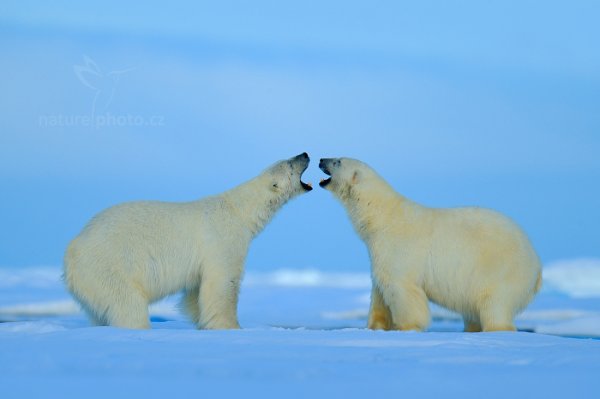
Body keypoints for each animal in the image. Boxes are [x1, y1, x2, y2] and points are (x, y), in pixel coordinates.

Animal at [63, 152, 312, 330]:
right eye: (290, 164)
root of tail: (72, 250)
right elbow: (223, 283)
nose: (305, 153)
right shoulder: (223, 240)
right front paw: (231, 327)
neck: (239, 211)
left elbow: (195, 291)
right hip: (108, 268)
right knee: (128, 305)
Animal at [318, 158, 544, 332]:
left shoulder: (397, 249)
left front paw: (407, 326)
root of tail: (537, 264)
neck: (381, 217)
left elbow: (401, 288)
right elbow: (379, 292)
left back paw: (496, 328)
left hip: (501, 272)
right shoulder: (377, 252)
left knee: (494, 304)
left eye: (338, 161)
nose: (321, 159)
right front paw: (374, 326)